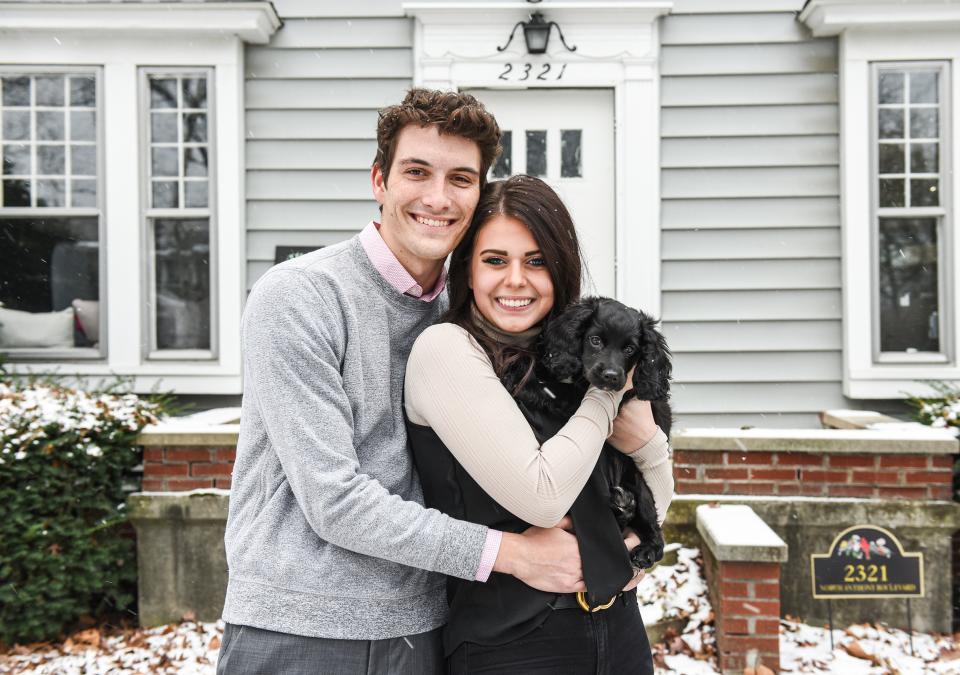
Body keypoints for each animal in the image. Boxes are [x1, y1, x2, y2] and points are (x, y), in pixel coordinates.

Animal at [506, 296, 672, 572]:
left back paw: (645, 547)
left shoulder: (587, 401)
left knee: (653, 529)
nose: (611, 376)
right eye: (595, 340)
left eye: (630, 349)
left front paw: (518, 373)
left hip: (639, 483)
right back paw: (623, 507)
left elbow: (555, 390)